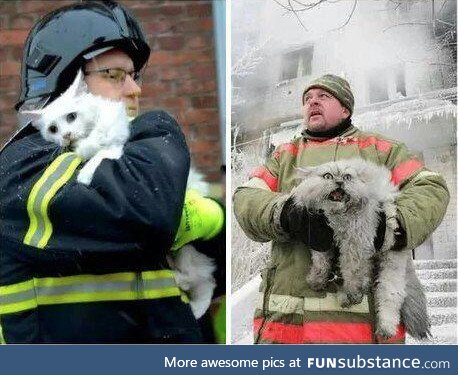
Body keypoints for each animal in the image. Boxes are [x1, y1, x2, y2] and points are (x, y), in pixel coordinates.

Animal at [292, 159, 432, 340]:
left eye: (347, 177)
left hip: (391, 263)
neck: (337, 217)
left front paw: (352, 292)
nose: (339, 182)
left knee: (391, 294)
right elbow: (321, 264)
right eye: (328, 176)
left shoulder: (355, 247)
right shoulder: (320, 240)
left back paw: (386, 327)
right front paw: (317, 280)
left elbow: (352, 274)